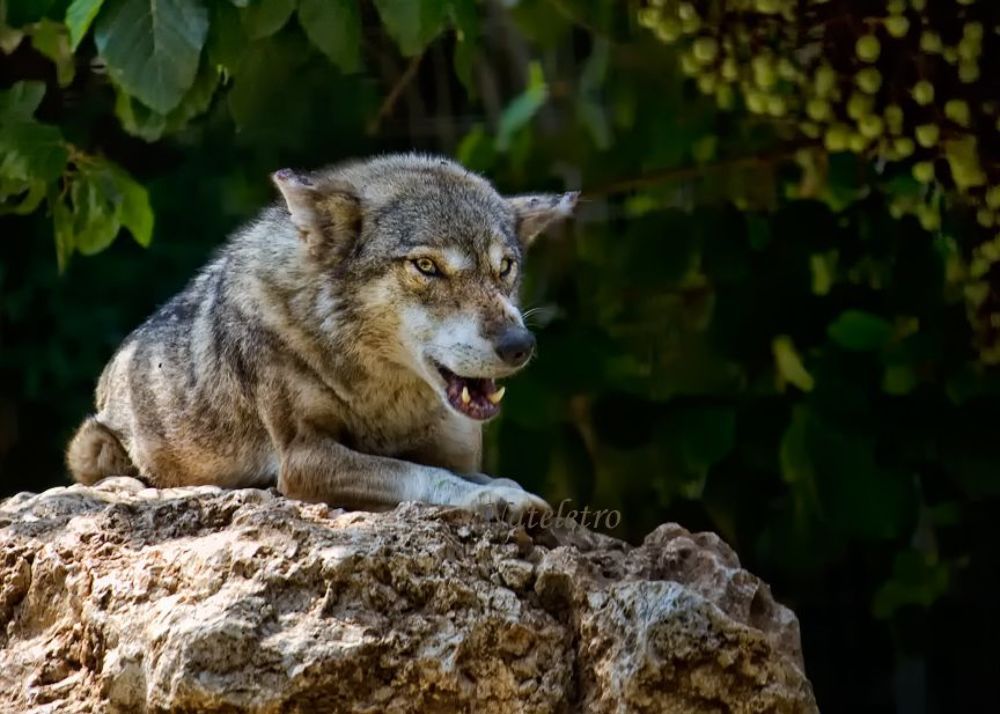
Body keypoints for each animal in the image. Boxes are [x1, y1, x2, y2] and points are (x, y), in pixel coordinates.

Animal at [66, 154, 578, 520]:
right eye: (426, 266)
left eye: (504, 267)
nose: (519, 345)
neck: (383, 399)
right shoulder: (303, 459)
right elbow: (422, 475)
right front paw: (495, 501)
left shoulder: (459, 455)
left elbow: (467, 473)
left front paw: (505, 491)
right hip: (94, 444)